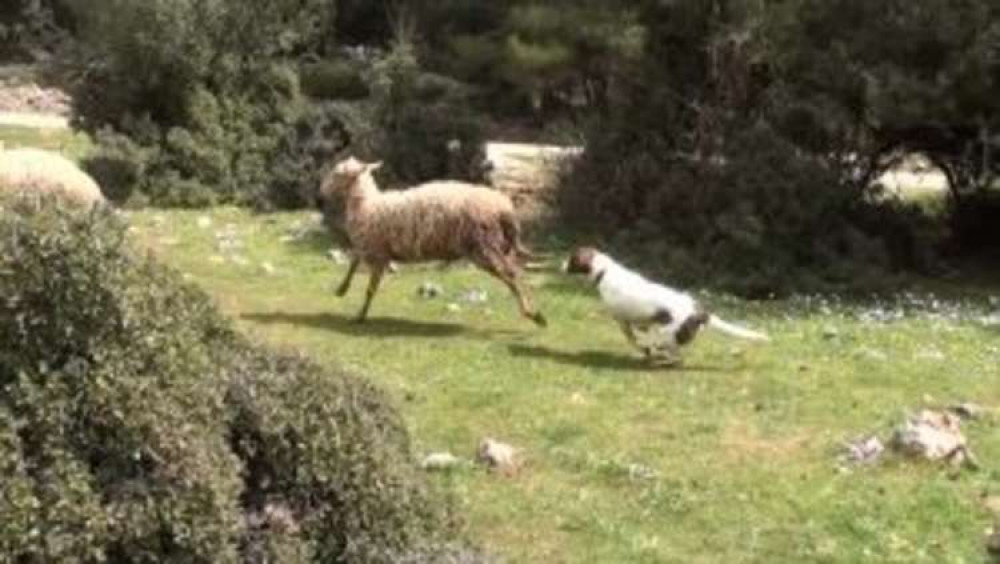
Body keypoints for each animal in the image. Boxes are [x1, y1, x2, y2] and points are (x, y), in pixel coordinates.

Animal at [320, 158, 548, 326]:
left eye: (338, 173)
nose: (321, 193)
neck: (366, 205)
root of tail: (504, 207)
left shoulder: (377, 252)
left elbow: (369, 289)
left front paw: (360, 315)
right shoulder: (370, 247)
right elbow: (353, 262)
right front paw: (341, 290)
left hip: (484, 246)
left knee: (511, 275)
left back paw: (533, 314)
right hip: (499, 245)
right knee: (516, 271)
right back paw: (534, 311)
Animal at [568, 248, 768, 366]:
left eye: (571, 259)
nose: (563, 263)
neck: (604, 272)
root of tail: (697, 311)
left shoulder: (622, 321)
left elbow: (633, 339)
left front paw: (643, 349)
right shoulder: (641, 322)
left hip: (667, 333)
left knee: (667, 350)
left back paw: (657, 355)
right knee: (675, 354)